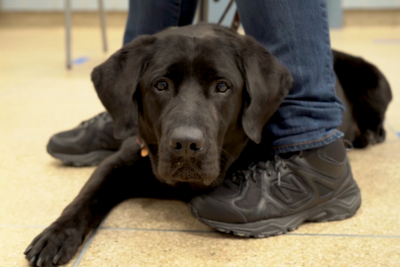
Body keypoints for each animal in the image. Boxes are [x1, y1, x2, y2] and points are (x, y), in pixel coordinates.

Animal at [24, 24, 390, 266]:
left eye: (222, 86)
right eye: (160, 85)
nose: (186, 144)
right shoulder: (120, 162)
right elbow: (84, 198)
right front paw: (56, 235)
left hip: (375, 82)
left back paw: (369, 135)